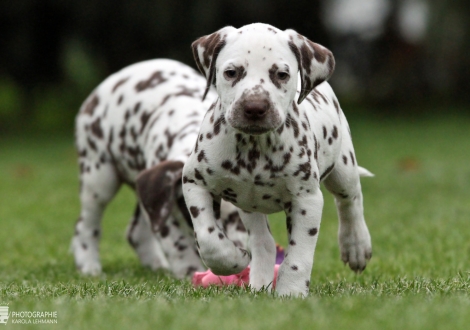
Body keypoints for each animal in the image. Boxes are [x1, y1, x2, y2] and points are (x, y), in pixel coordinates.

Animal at [72, 58, 250, 276]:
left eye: (236, 218)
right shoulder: (167, 210)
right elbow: (178, 244)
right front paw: (189, 271)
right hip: (99, 179)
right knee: (85, 226)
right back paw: (89, 266)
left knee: (136, 232)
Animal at [182, 23, 372, 296]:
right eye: (231, 72)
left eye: (281, 74)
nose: (254, 107)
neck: (254, 148)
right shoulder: (194, 182)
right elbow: (208, 238)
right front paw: (233, 260)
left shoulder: (307, 200)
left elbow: (298, 256)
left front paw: (291, 292)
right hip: (248, 206)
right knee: (264, 242)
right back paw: (258, 282)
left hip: (343, 167)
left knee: (351, 201)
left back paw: (355, 245)